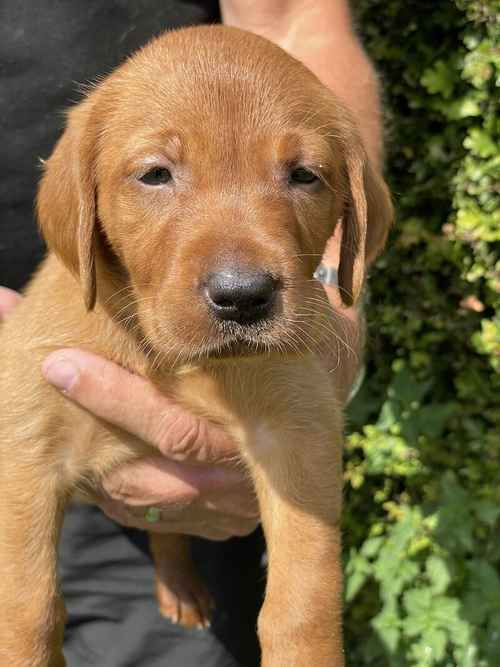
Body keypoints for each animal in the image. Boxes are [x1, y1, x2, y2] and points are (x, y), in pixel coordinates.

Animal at [0, 26, 390, 667]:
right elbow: (27, 607)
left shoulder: (297, 433)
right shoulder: (27, 447)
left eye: (305, 175)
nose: (243, 297)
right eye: (156, 174)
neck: (168, 359)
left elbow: (301, 605)